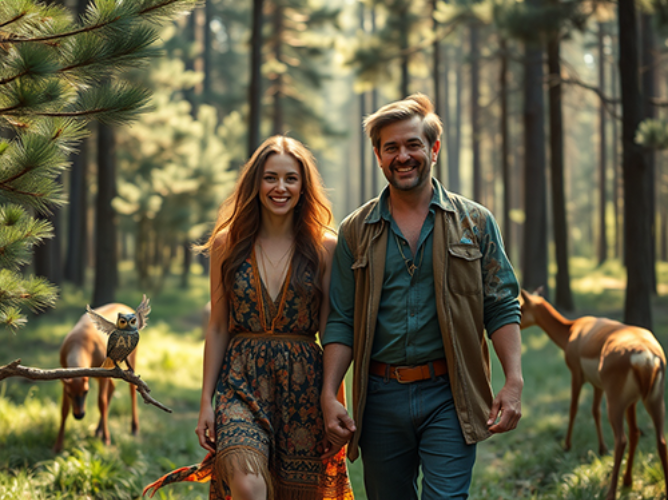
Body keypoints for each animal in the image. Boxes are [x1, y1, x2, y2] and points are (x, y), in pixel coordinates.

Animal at [56, 302, 141, 456]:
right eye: (70, 394)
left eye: (86, 392)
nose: (79, 415)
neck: (81, 344)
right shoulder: (64, 377)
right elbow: (64, 408)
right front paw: (58, 446)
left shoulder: (102, 374)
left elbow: (101, 403)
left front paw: (106, 439)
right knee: (113, 387)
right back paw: (97, 430)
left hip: (133, 354)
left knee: (131, 389)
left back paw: (134, 428)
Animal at [520, 290, 668, 500]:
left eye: (522, 307)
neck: (569, 333)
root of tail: (646, 358)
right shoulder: (600, 385)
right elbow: (596, 411)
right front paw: (602, 449)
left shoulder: (576, 372)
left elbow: (573, 408)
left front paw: (567, 446)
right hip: (652, 397)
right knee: (655, 438)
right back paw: (637, 483)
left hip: (616, 397)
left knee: (622, 439)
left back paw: (611, 492)